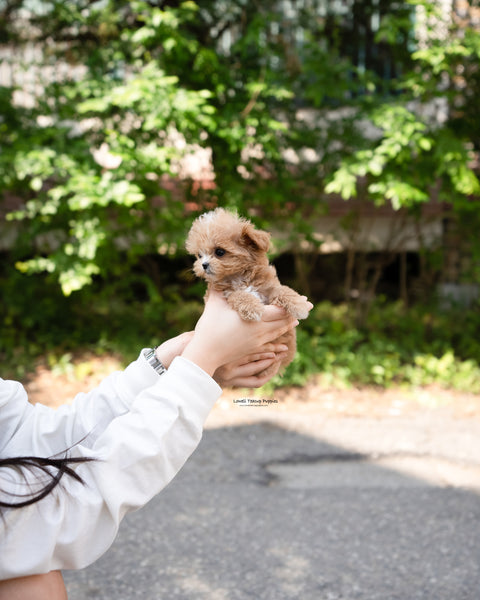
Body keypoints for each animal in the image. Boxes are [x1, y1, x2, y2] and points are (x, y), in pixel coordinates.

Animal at [184, 206, 312, 376]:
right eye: (199, 255)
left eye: (219, 252)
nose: (203, 264)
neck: (238, 277)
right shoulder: (227, 293)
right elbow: (239, 295)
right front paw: (252, 308)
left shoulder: (268, 288)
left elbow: (282, 290)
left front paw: (299, 305)